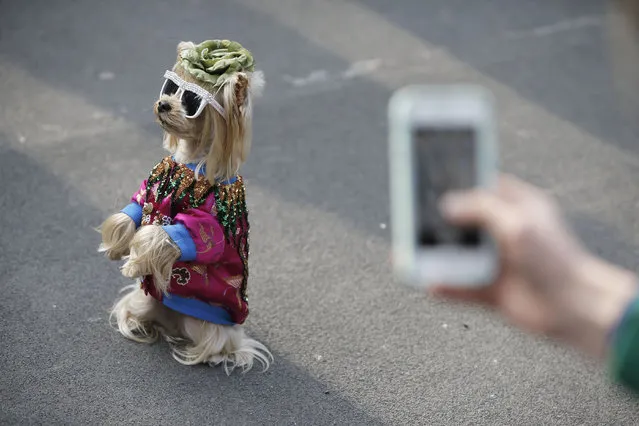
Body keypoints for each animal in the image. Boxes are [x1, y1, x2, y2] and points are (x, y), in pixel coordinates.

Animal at [97, 39, 272, 372]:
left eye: (192, 102)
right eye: (171, 87)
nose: (164, 104)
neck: (192, 160)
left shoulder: (208, 219)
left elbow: (176, 234)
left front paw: (135, 261)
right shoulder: (149, 189)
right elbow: (135, 210)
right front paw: (115, 245)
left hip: (205, 325)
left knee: (218, 344)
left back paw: (201, 353)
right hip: (147, 302)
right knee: (141, 309)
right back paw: (142, 324)